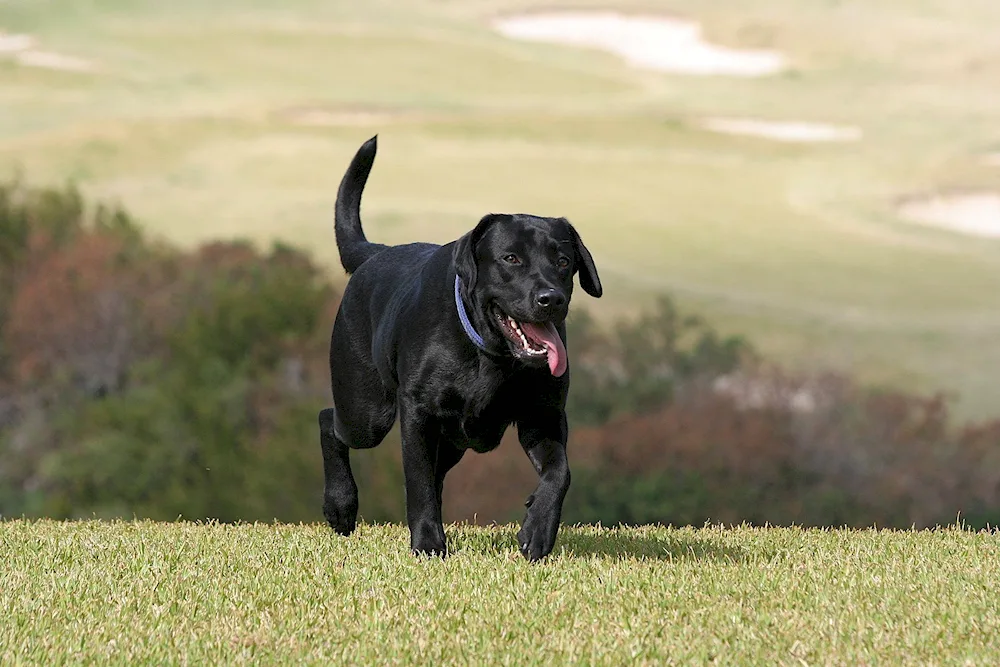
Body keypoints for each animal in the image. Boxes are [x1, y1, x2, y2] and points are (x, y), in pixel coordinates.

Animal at [320, 134, 600, 560]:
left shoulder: (543, 415)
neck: (491, 356)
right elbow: (417, 482)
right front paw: (428, 543)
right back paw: (340, 506)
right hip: (367, 412)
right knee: (328, 423)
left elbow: (560, 472)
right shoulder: (418, 413)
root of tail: (376, 252)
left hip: (450, 441)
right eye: (510, 258)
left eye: (564, 261)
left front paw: (537, 531)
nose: (550, 298)